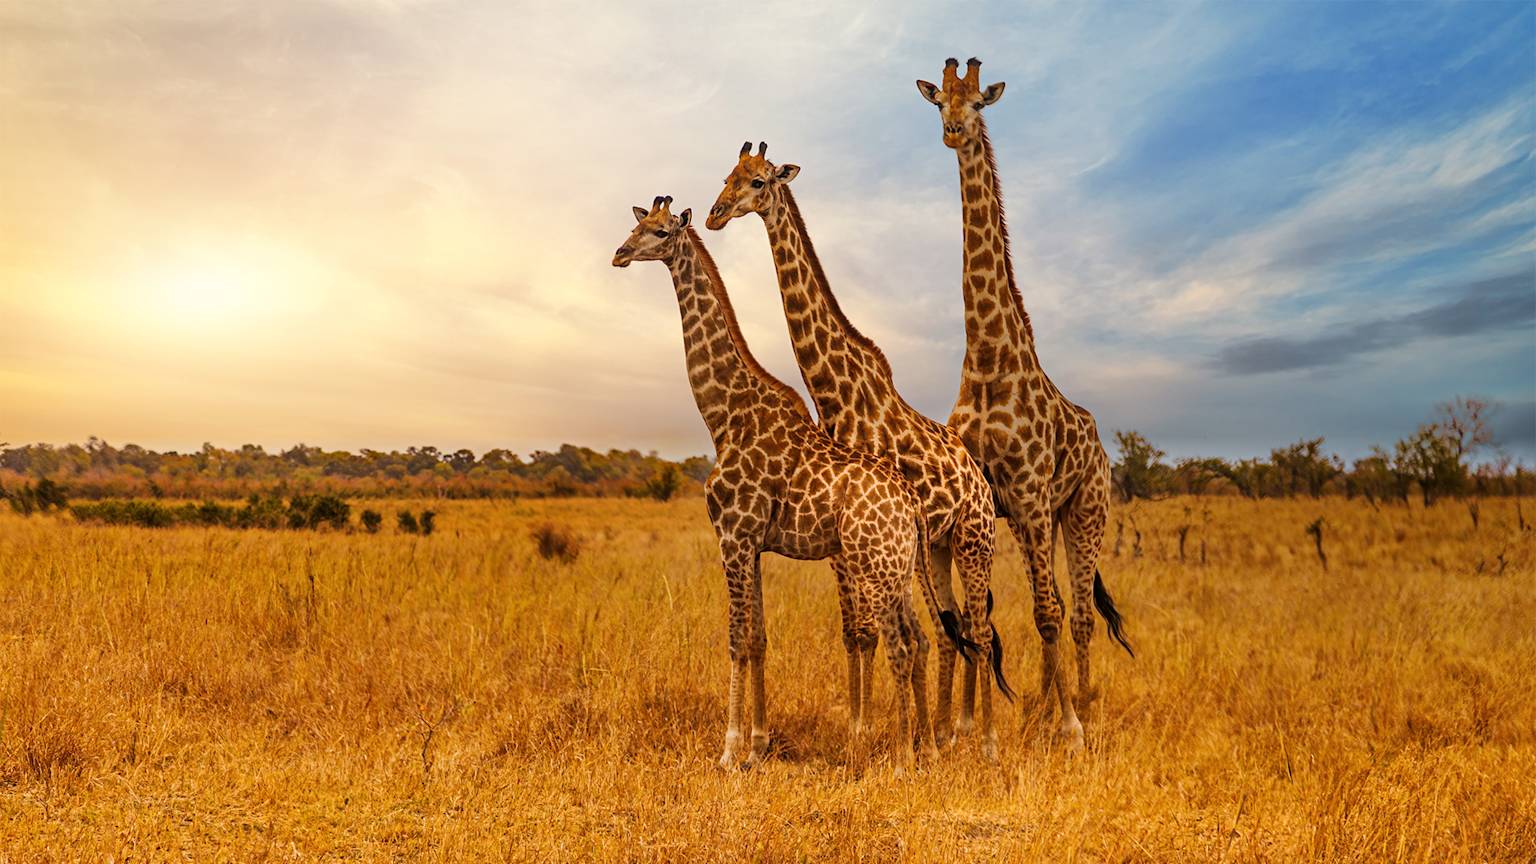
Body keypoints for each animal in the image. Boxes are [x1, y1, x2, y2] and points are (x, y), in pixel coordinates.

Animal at [612, 195, 965, 772]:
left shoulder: (733, 536)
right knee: (919, 638)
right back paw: (925, 748)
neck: (723, 416)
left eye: (661, 233)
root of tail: (911, 504)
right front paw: (757, 745)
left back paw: (903, 757)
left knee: (903, 642)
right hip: (897, 566)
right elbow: (758, 638)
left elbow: (736, 640)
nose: (619, 253)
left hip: (875, 565)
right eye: (637, 224)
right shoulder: (753, 544)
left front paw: (728, 752)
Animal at [707, 141, 1012, 761]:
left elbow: (872, 633)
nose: (715, 214)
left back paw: (982, 739)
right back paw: (948, 730)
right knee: (953, 631)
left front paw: (873, 736)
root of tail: (978, 477)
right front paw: (864, 729)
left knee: (976, 627)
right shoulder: (839, 542)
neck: (837, 392)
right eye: (726, 176)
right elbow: (856, 634)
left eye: (756, 181)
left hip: (973, 539)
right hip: (936, 548)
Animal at [916, 57, 1134, 748]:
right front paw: (965, 726)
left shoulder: (1034, 495)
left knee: (1078, 611)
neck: (987, 360)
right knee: (1061, 605)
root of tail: (1099, 443)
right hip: (1042, 517)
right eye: (939, 103)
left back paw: (1080, 706)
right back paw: (1041, 705)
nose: (954, 132)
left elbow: (1045, 612)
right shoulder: (989, 500)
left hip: (1084, 510)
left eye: (979, 103)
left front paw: (1069, 727)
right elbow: (975, 615)